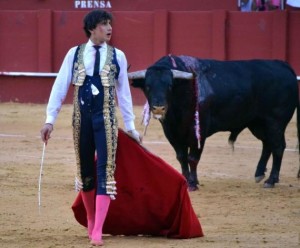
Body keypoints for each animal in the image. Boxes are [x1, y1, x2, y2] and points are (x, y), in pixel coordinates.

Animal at [129, 54, 300, 190]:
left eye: (170, 86)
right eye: (147, 86)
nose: (158, 108)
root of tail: (283, 65)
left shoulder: (199, 132)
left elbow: (192, 158)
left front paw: (193, 184)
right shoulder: (171, 133)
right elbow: (182, 157)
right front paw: (187, 180)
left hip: (275, 122)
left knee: (278, 146)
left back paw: (271, 180)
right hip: (258, 123)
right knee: (267, 144)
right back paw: (259, 174)